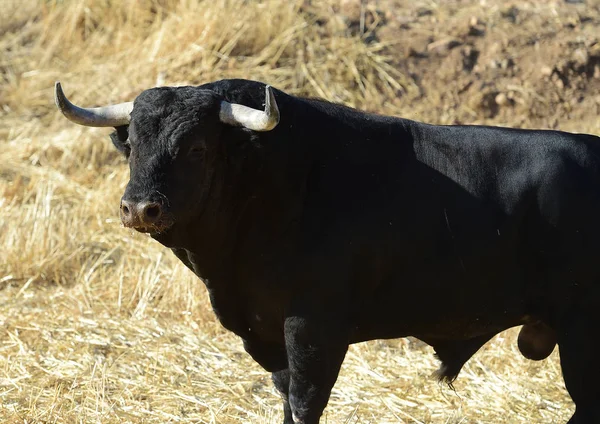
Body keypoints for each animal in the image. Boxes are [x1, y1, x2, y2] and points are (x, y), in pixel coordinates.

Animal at [56, 78, 600, 422]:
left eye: (197, 148)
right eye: (133, 146)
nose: (139, 208)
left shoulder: (314, 328)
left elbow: (305, 403)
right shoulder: (268, 333)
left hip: (581, 334)